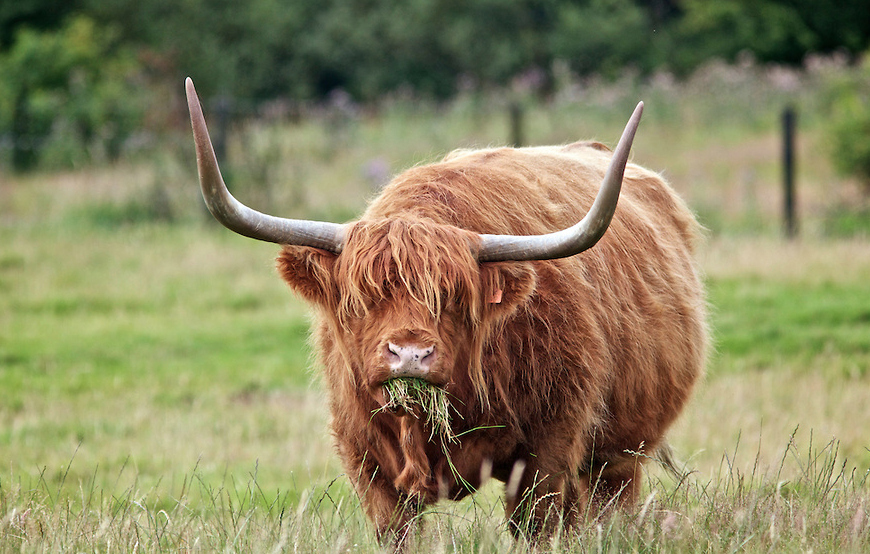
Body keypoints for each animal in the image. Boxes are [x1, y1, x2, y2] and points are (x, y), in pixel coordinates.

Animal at [186, 77, 708, 544]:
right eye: (362, 298)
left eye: (454, 299)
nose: (409, 355)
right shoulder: (366, 460)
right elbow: (396, 531)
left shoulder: (549, 446)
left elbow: (536, 525)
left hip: (622, 449)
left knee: (607, 508)